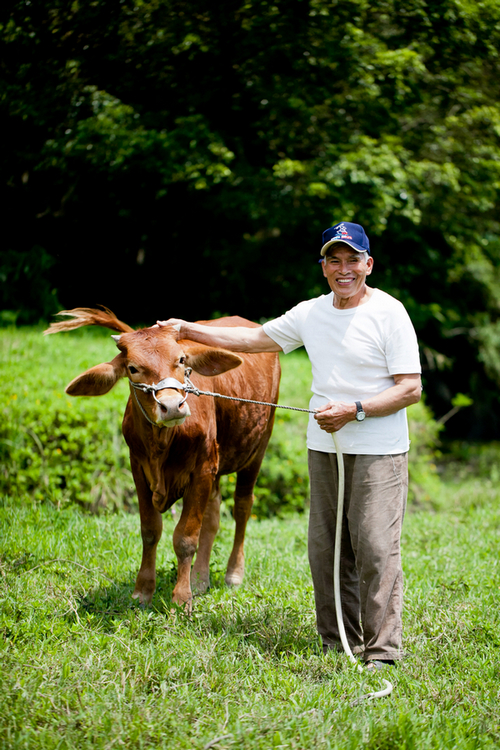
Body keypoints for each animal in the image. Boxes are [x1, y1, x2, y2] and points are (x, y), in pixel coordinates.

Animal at [44, 310, 280, 612]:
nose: (171, 406)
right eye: (133, 368)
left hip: (257, 448)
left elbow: (185, 537)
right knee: (213, 516)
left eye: (181, 360)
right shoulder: (139, 468)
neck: (162, 444)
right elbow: (150, 530)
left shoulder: (202, 469)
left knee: (242, 507)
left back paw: (233, 573)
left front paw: (181, 598)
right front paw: (143, 590)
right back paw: (200, 578)